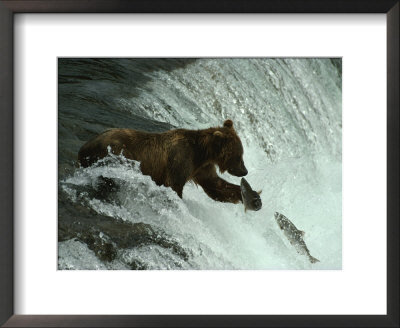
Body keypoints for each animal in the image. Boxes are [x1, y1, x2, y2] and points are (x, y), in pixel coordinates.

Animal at [77, 119, 247, 204]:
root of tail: (84, 146)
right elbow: (174, 186)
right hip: (114, 156)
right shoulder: (180, 160)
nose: (244, 171)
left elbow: (215, 185)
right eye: (239, 156)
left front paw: (247, 195)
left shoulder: (201, 167)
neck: (202, 152)